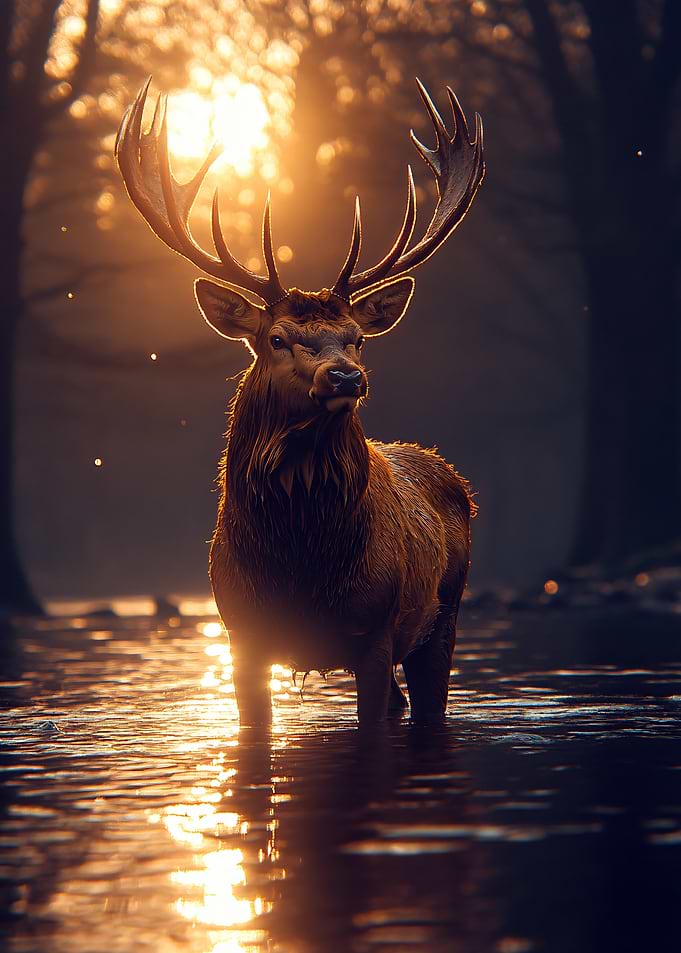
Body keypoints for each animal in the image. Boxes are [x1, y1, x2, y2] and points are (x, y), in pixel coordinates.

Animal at [116, 77, 484, 726]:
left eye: (357, 337)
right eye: (277, 339)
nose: (345, 377)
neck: (301, 569)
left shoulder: (375, 628)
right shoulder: (240, 631)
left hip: (443, 616)